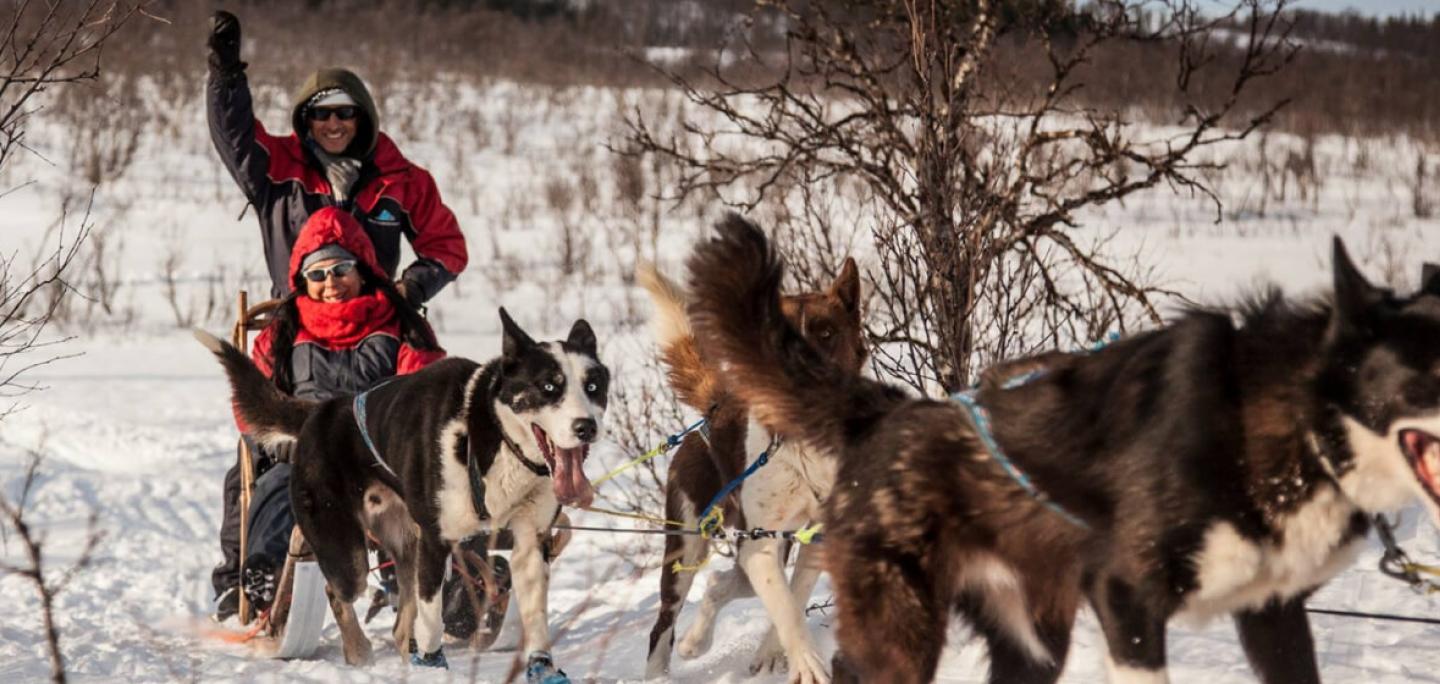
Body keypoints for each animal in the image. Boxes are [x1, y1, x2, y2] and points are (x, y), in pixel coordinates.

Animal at [200, 311, 604, 679]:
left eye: (594, 386)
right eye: (549, 387)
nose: (587, 427)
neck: (486, 434)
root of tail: (320, 412)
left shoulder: (529, 541)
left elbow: (535, 616)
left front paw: (542, 667)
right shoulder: (436, 542)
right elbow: (432, 621)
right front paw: (433, 666)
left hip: (407, 548)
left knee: (399, 623)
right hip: (348, 553)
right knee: (339, 591)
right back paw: (359, 651)